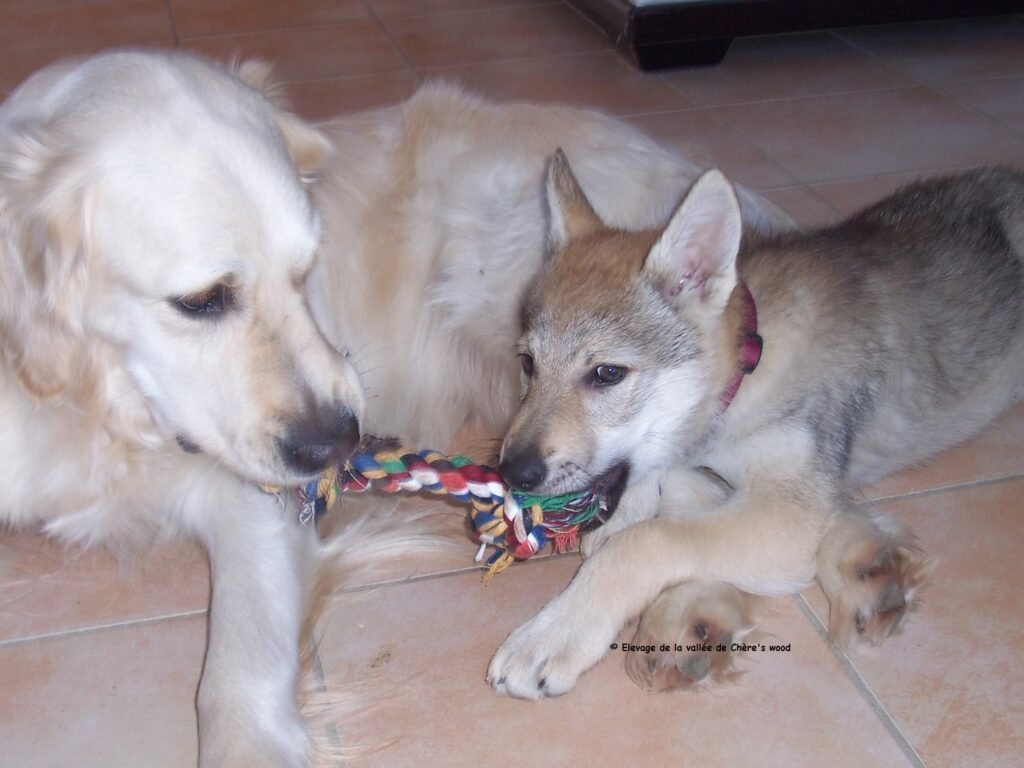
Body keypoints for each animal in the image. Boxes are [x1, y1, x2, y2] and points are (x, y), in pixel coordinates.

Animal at [487, 153, 1024, 700]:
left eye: (607, 374)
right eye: (528, 364)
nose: (512, 472)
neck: (748, 369)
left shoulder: (791, 511)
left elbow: (649, 541)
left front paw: (555, 633)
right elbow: (666, 495)